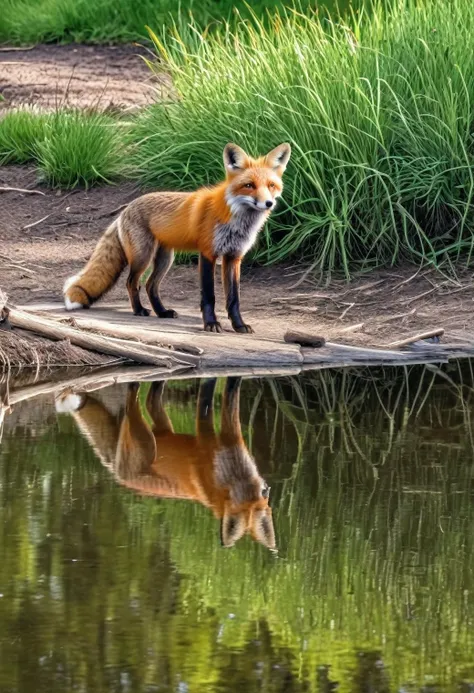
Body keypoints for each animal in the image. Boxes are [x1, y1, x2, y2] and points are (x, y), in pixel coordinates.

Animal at [55, 376, 276, 548]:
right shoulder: (206, 440)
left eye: (261, 497)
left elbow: (232, 394)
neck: (234, 473)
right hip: (146, 441)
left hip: (160, 426)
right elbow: (206, 402)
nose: (266, 489)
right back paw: (134, 385)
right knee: (132, 401)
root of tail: (118, 476)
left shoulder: (233, 436)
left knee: (151, 400)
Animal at [63, 141, 290, 332]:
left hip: (165, 259)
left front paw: (239, 325)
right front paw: (211, 324)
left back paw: (162, 312)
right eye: (249, 185)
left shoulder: (234, 257)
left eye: (271, 185)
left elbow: (234, 298)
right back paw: (139, 310)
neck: (235, 221)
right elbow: (209, 295)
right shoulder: (208, 253)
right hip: (143, 257)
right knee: (132, 283)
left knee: (150, 285)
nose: (268, 203)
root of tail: (124, 209)